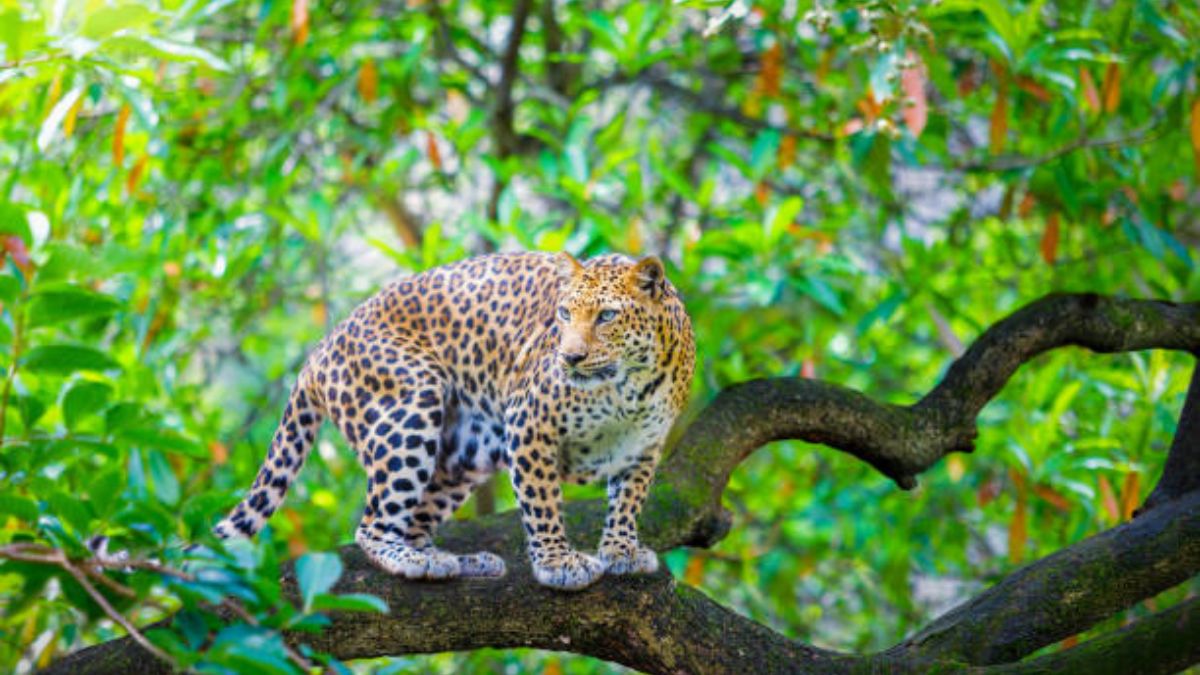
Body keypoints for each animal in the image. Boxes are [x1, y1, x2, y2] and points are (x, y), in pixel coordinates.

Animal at [214, 251, 695, 591]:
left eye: (607, 316)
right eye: (563, 315)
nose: (569, 357)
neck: (629, 387)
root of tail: (319, 350)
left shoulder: (644, 446)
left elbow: (628, 501)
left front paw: (622, 550)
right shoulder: (528, 424)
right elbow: (542, 502)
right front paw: (558, 563)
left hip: (463, 455)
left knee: (414, 523)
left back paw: (459, 562)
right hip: (410, 408)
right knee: (373, 526)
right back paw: (415, 561)